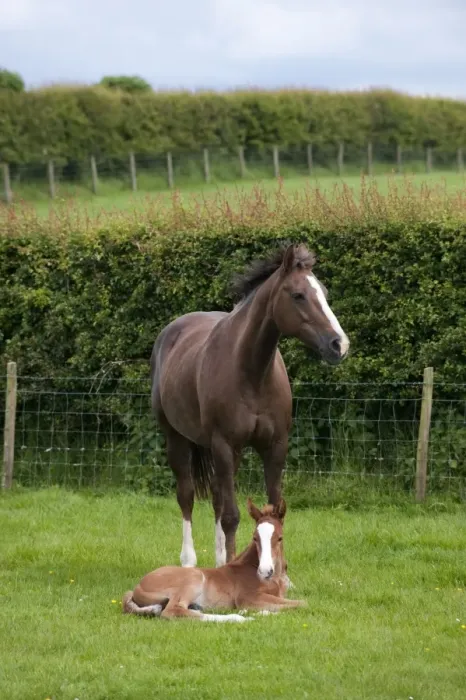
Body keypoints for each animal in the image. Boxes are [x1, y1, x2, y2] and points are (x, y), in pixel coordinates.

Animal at [122, 498, 305, 622]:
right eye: (255, 538)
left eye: (280, 538)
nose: (265, 570)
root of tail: (138, 586)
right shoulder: (248, 598)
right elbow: (302, 603)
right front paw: (249, 612)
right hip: (193, 577)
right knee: (173, 611)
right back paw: (239, 617)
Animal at [150, 242, 349, 568]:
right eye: (298, 295)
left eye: (324, 292)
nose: (339, 345)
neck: (252, 373)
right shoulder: (223, 444)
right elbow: (232, 516)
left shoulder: (275, 446)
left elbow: (272, 511)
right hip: (177, 438)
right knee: (187, 495)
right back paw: (189, 561)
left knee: (217, 497)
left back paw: (219, 560)